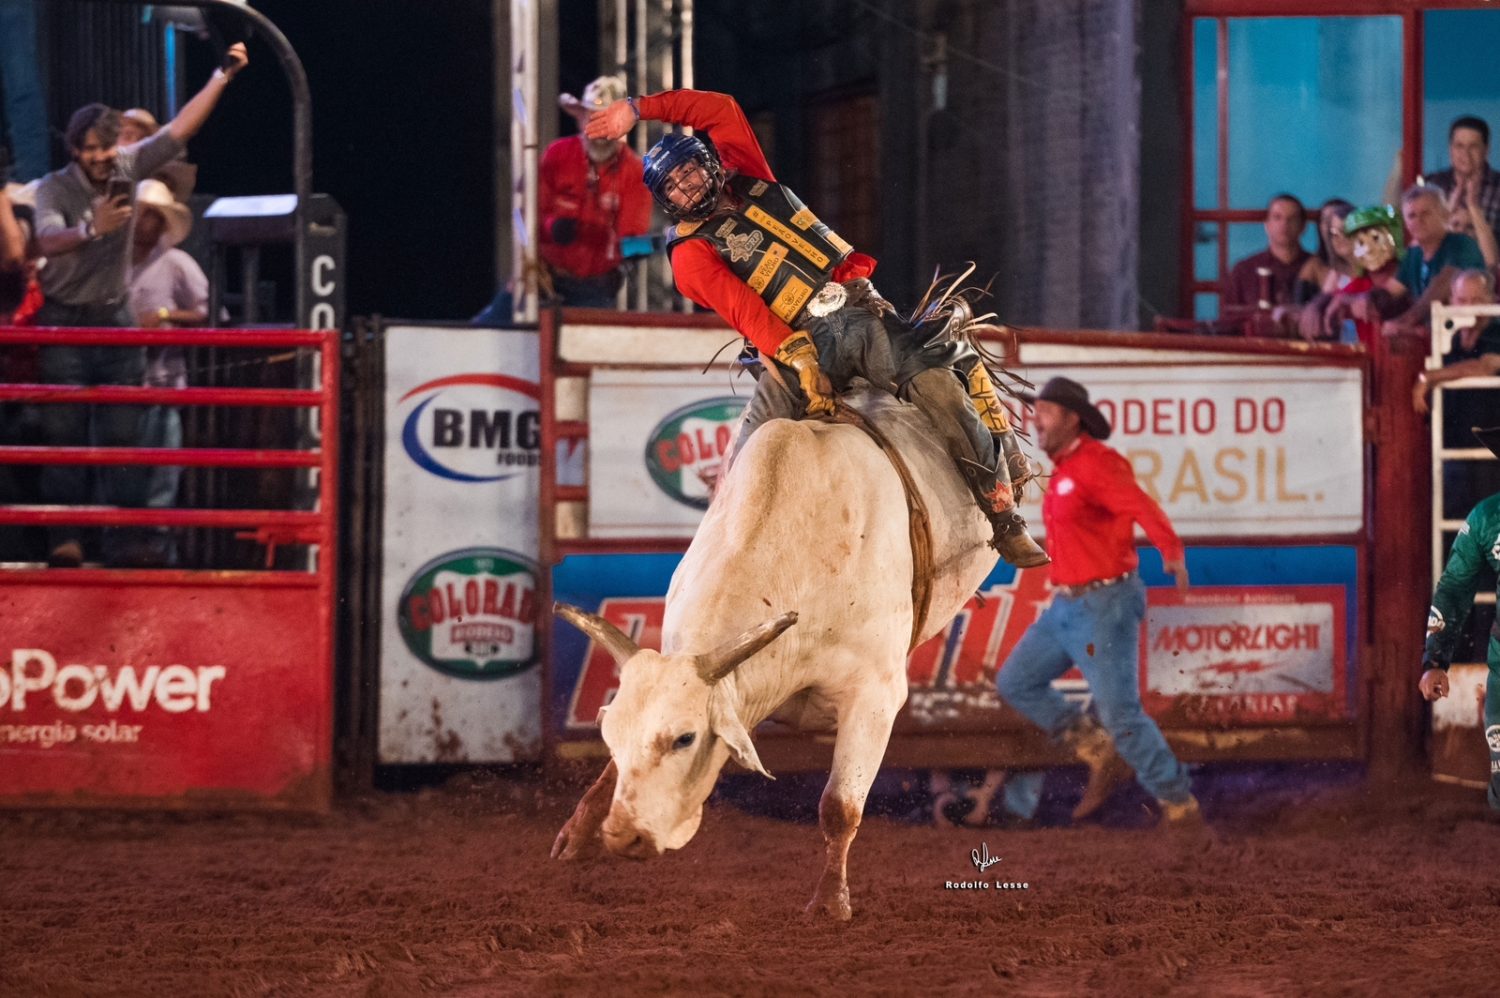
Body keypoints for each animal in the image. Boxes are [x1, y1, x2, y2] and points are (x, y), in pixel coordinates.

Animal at [552, 384, 996, 912]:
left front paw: (830, 903)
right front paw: (577, 835)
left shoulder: (874, 697)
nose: (623, 837)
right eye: (611, 735)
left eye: (685, 738)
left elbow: (840, 807)